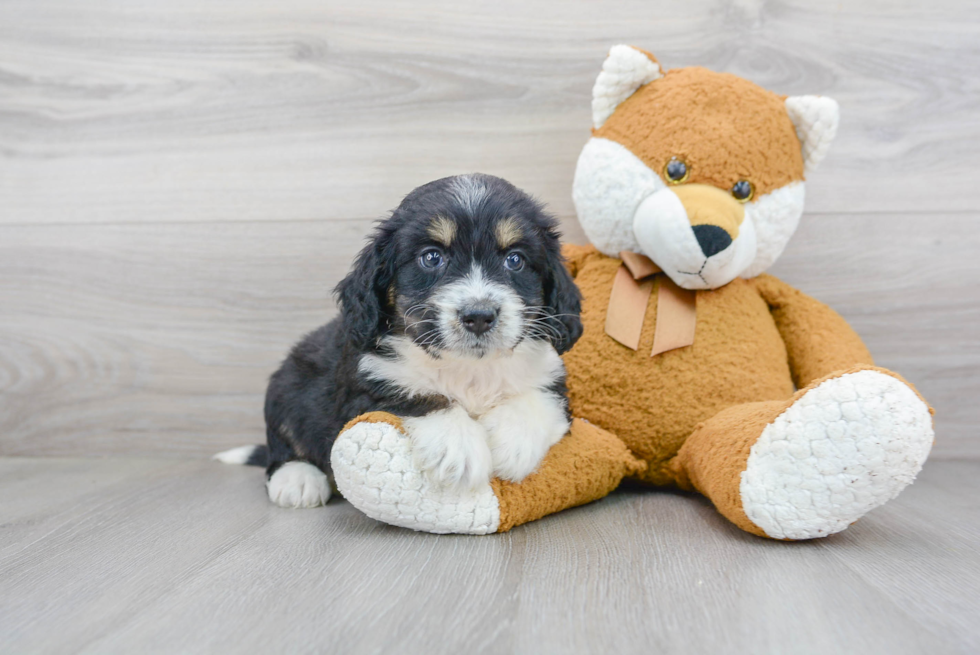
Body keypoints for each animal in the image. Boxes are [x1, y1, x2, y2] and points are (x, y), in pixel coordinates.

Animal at [214, 173, 580, 508]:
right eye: (432, 257)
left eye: (515, 259)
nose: (479, 316)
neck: (467, 368)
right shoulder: (365, 386)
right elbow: (418, 395)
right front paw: (458, 448)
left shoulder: (553, 379)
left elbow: (538, 398)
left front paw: (513, 444)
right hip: (286, 384)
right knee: (283, 445)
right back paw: (297, 480)